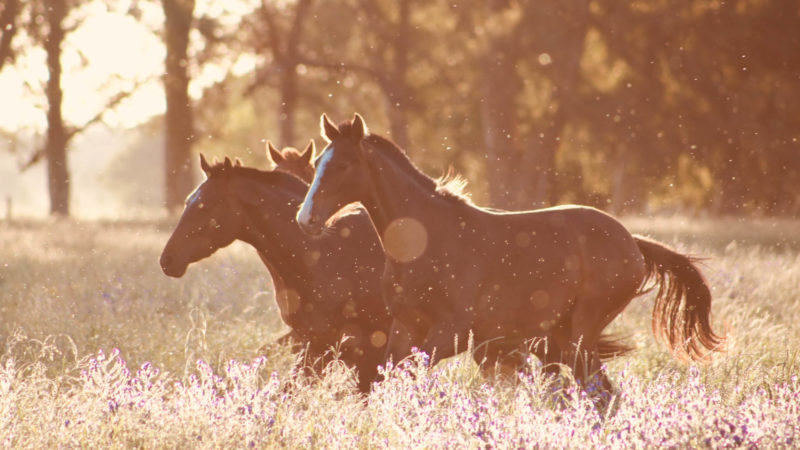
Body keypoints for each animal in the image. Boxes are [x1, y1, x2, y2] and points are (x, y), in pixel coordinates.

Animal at [296, 113, 724, 390]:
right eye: (318, 163)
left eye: (344, 165)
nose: (305, 218)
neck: (425, 241)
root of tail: (632, 242)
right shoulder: (406, 327)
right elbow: (384, 378)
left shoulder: (453, 333)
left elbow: (407, 377)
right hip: (560, 338)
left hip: (581, 334)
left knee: (599, 393)